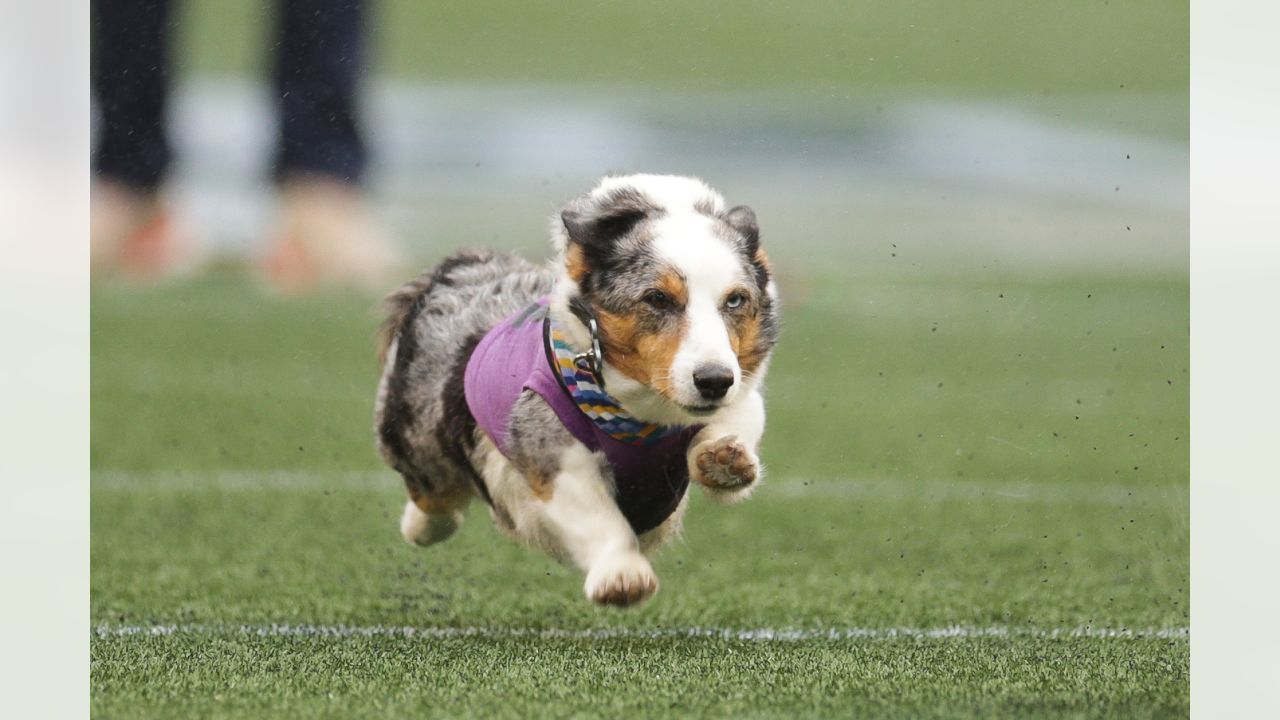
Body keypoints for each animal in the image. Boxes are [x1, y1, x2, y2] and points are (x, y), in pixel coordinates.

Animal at [373, 174, 778, 604]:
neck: (641, 417)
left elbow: (734, 421)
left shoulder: (739, 391)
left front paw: (723, 459)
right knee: (436, 500)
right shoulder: (552, 452)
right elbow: (595, 513)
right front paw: (622, 576)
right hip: (419, 442)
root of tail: (457, 271)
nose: (714, 380)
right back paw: (419, 527)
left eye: (735, 300)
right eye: (657, 298)